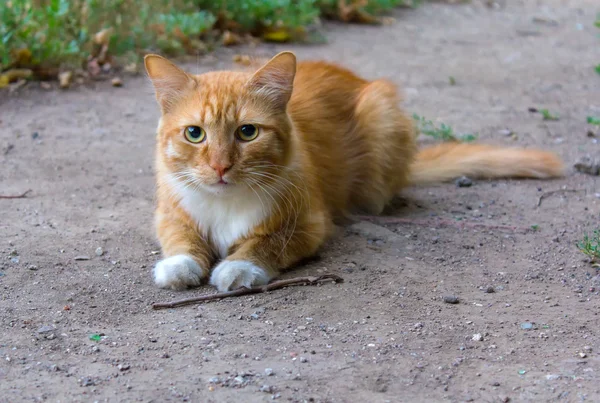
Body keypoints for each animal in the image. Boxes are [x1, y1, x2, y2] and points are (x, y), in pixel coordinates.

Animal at [144, 51, 564, 290]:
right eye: (194, 134)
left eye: (247, 132)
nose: (220, 166)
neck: (226, 204)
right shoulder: (171, 214)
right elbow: (182, 239)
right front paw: (179, 266)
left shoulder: (309, 224)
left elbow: (264, 244)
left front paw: (237, 268)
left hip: (381, 123)